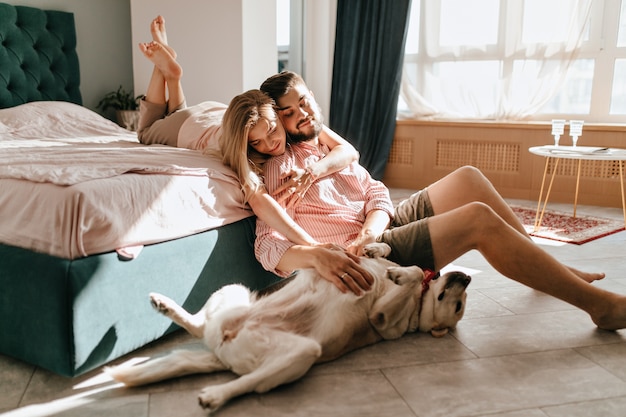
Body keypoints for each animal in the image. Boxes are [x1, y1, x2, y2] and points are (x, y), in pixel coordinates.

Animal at [106, 242, 468, 412]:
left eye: (459, 306)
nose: (465, 277)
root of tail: (221, 348)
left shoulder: (382, 319)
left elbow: (410, 277)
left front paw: (403, 275)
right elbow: (388, 253)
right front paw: (376, 251)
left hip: (302, 352)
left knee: (249, 382)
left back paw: (216, 395)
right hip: (233, 290)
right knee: (197, 326)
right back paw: (164, 305)